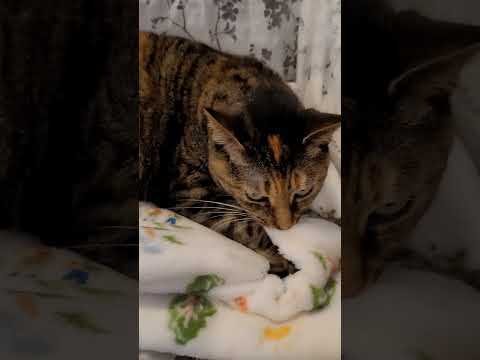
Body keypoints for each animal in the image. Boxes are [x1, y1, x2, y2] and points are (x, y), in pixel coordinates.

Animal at [139, 33, 342, 276]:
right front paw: (286, 262)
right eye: (256, 197)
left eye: (303, 192)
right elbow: (247, 226)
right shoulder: (191, 191)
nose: (285, 227)